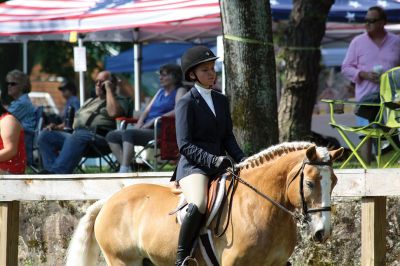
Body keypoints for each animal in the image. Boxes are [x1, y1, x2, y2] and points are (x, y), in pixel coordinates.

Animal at [66, 142, 344, 264]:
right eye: (310, 183)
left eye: (335, 181)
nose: (323, 232)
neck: (262, 208)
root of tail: (108, 201)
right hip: (123, 261)